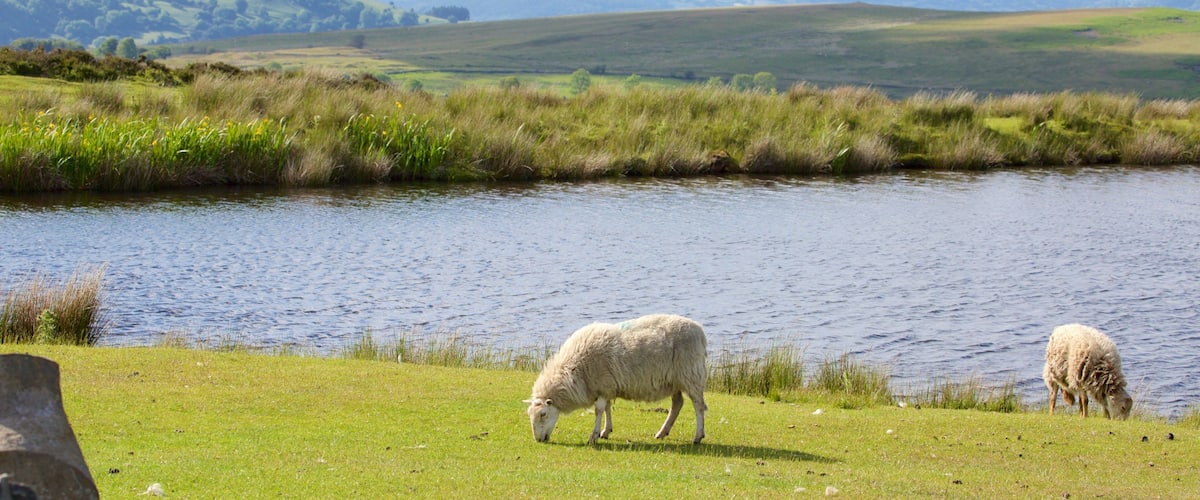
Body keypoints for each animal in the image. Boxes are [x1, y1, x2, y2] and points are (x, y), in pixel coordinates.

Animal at [524, 314, 708, 444]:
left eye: (543, 414)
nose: (538, 440)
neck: (574, 369)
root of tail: (699, 330)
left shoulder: (603, 384)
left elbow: (599, 410)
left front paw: (594, 436)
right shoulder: (606, 387)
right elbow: (607, 409)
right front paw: (606, 431)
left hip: (691, 374)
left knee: (698, 406)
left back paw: (698, 436)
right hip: (674, 380)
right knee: (677, 404)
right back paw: (662, 432)